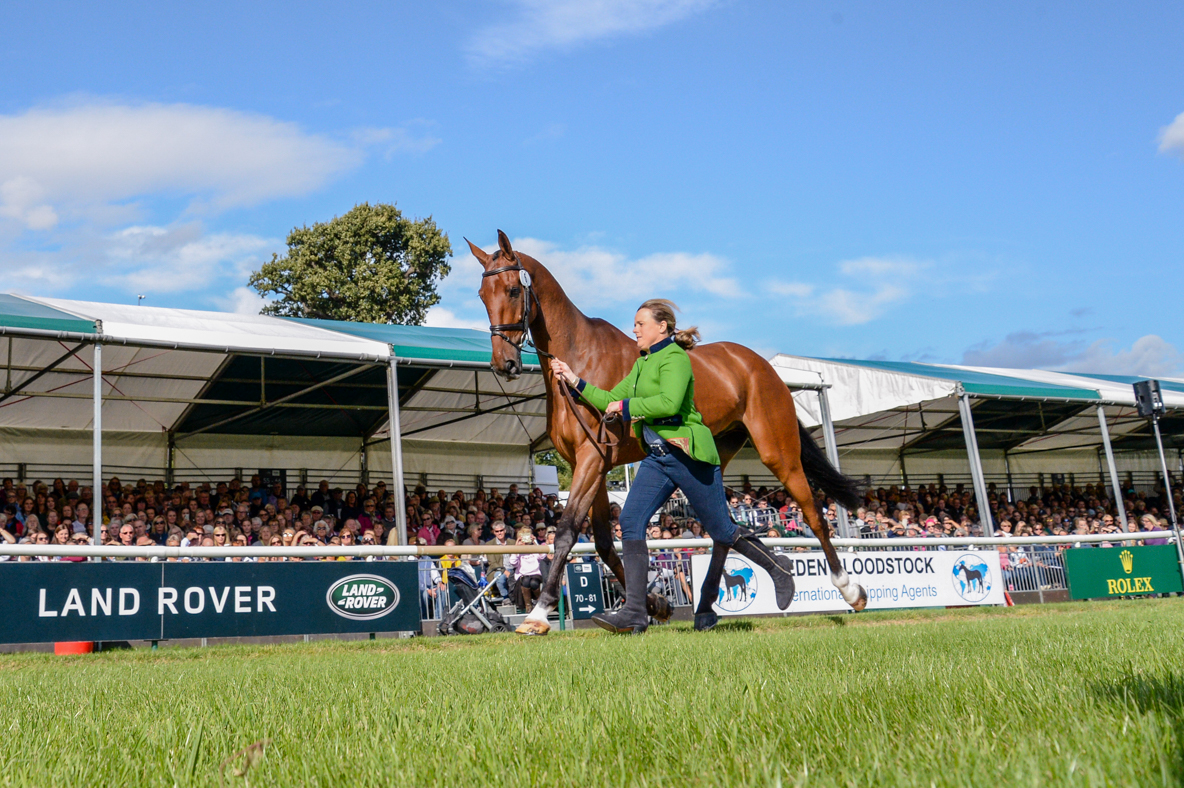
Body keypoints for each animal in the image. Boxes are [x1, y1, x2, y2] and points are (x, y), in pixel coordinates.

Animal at [469, 231, 867, 635]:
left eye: (513, 290)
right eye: (483, 295)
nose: (504, 364)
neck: (581, 358)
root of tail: (761, 367)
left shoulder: (591, 460)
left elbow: (567, 532)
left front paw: (538, 614)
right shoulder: (593, 464)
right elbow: (603, 542)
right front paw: (655, 605)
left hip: (778, 453)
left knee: (813, 514)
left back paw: (848, 590)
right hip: (712, 461)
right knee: (722, 529)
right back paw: (707, 608)